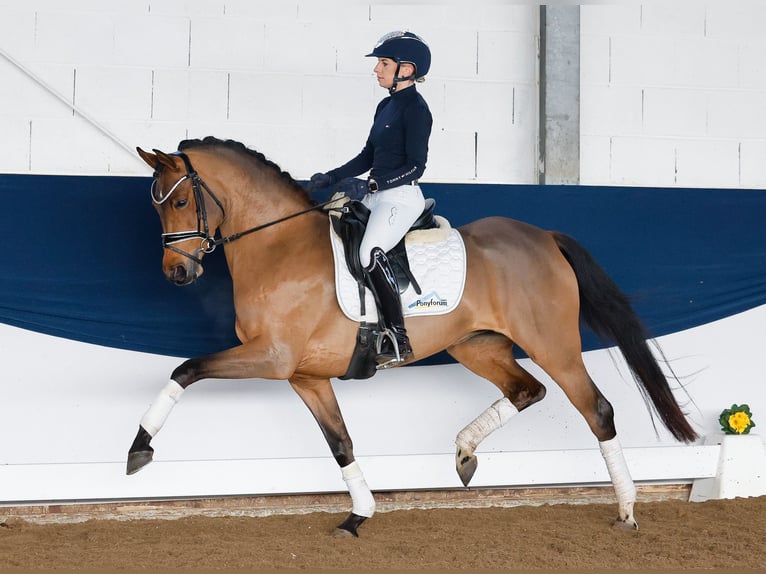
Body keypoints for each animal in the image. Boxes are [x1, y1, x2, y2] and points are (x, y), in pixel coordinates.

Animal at [129, 137, 700, 536]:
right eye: (155, 206)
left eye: (177, 204)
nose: (176, 273)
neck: (277, 246)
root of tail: (543, 236)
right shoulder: (305, 375)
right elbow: (340, 442)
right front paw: (359, 514)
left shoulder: (271, 357)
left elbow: (186, 369)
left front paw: (139, 449)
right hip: (476, 345)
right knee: (526, 390)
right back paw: (465, 452)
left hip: (553, 345)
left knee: (595, 408)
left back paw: (626, 511)